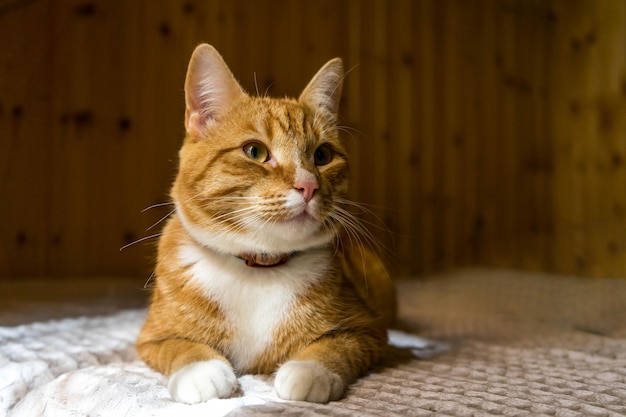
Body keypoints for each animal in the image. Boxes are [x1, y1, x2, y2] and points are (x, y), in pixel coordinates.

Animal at [136, 43, 394, 404]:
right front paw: (201, 372)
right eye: (255, 151)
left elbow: (336, 347)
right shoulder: (151, 337)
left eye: (322, 156)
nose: (308, 186)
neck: (257, 267)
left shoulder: (370, 331)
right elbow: (180, 347)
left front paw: (308, 372)